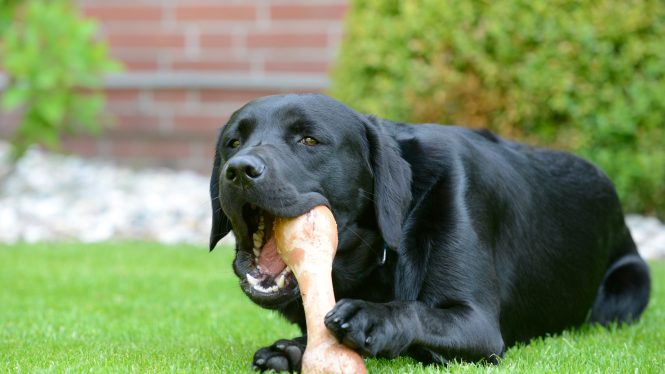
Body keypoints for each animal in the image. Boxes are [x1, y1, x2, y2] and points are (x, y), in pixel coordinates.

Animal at [210, 94, 652, 372]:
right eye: (234, 141)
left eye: (309, 139)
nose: (239, 170)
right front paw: (291, 353)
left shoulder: (478, 324)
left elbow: (414, 311)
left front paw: (369, 318)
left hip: (631, 283)